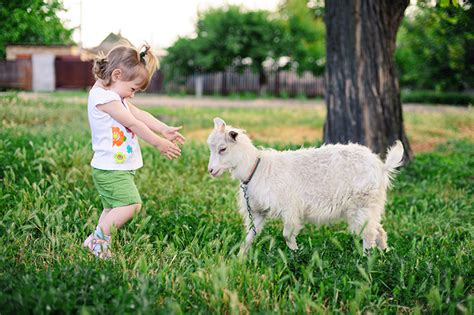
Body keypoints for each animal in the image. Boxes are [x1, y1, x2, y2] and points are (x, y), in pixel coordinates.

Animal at [207, 118, 404, 254]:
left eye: (223, 149)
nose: (211, 170)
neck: (256, 168)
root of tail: (381, 167)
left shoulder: (290, 208)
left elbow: (287, 235)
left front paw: (296, 254)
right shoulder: (258, 211)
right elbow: (250, 236)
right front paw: (240, 257)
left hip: (363, 203)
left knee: (369, 233)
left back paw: (366, 259)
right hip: (369, 206)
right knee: (378, 230)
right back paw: (385, 254)